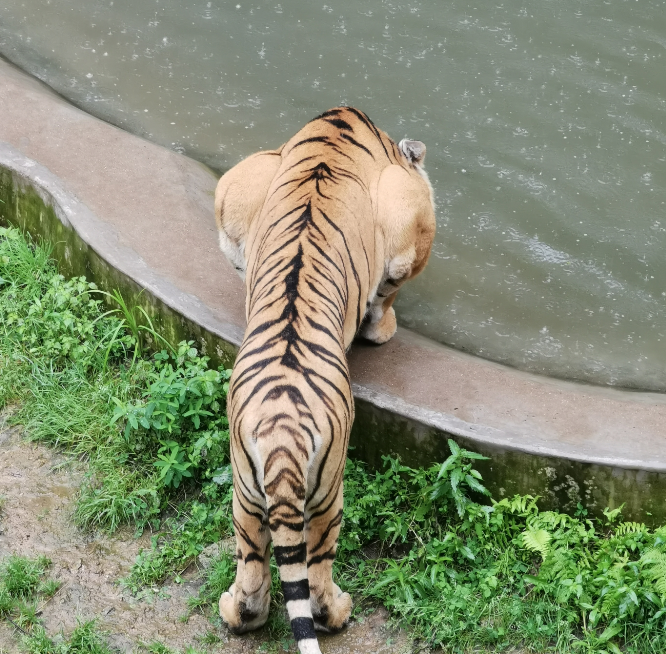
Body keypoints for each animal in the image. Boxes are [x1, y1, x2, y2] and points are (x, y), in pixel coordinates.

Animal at [210, 107, 434, 654]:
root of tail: (282, 436)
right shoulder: (409, 218)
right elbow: (389, 288)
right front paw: (382, 328)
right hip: (330, 491)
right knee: (315, 576)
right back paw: (341, 611)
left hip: (246, 490)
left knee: (252, 574)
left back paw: (234, 611)